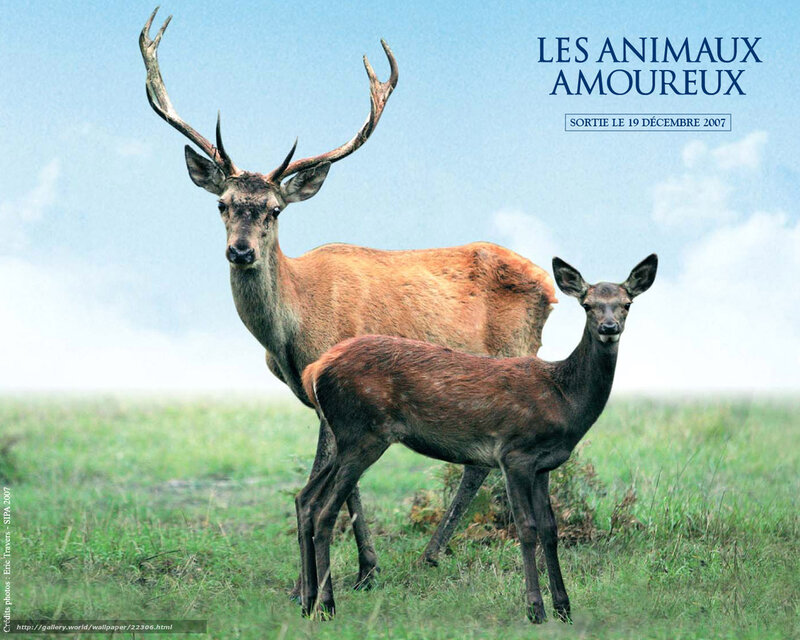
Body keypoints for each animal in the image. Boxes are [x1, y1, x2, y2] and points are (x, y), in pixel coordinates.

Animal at [140, 8, 556, 595]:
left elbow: (331, 480)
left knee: (486, 459)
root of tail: (549, 284)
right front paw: (357, 570)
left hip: (514, 351)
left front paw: (331, 578)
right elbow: (344, 484)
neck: (291, 329)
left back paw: (431, 554)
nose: (240, 251)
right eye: (222, 203)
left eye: (274, 210)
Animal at [297, 255, 658, 622]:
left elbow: (550, 529)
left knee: (306, 499)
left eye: (626, 303)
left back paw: (308, 601)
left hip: (345, 438)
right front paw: (535, 609)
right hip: (362, 433)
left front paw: (564, 607)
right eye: (587, 305)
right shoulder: (514, 454)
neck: (564, 398)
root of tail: (314, 370)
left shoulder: (544, 465)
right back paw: (326, 605)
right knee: (325, 510)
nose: (609, 328)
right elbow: (526, 528)